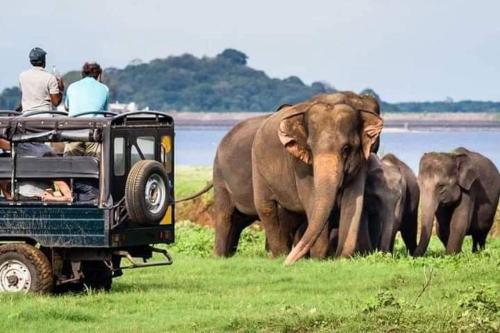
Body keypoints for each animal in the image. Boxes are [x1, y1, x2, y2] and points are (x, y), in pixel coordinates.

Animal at [252, 92, 384, 264]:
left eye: (346, 148)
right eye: (310, 148)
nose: (287, 264)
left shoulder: (361, 160)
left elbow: (353, 200)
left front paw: (341, 258)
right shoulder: (300, 164)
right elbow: (311, 198)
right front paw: (318, 259)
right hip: (257, 167)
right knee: (266, 207)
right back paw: (279, 255)